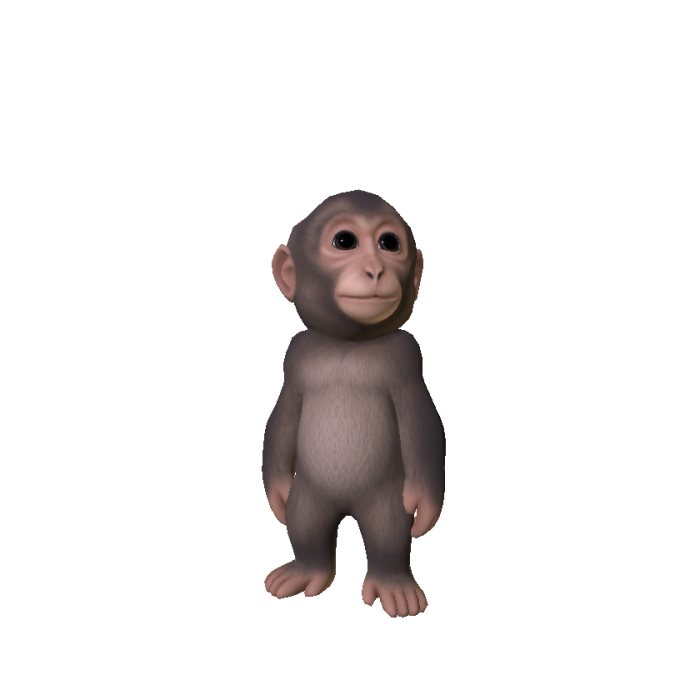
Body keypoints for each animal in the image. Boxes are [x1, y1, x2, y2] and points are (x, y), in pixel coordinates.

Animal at [263, 190, 445, 618]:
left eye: (389, 243)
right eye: (344, 241)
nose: (375, 269)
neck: (348, 344)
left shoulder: (406, 356)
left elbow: (421, 425)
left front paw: (427, 506)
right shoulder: (295, 354)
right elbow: (283, 417)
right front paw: (276, 492)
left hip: (385, 497)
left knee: (387, 532)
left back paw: (393, 584)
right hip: (311, 494)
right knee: (305, 523)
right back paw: (305, 571)